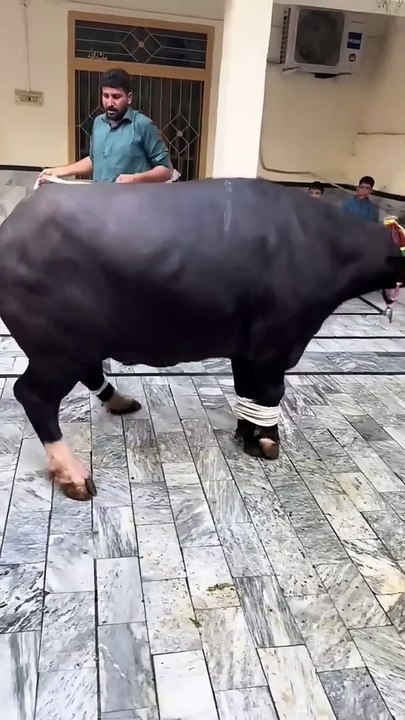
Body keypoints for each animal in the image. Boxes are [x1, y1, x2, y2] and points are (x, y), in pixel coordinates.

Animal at [0, 177, 403, 501]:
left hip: (80, 343)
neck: (326, 246)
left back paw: (120, 401)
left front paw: (246, 433)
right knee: (33, 395)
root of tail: (11, 227)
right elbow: (271, 393)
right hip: (57, 349)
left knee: (86, 374)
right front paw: (267, 441)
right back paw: (73, 475)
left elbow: (247, 392)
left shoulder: (246, 349)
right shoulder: (275, 343)